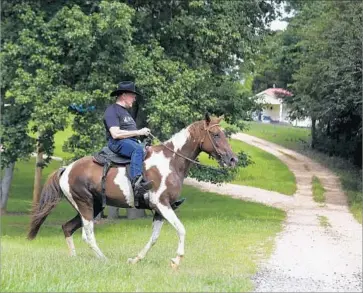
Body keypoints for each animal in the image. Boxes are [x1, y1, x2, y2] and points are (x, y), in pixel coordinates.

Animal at [28, 113, 239, 266]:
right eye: (216, 134)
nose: (232, 159)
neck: (171, 161)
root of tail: (67, 169)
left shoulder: (159, 210)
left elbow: (154, 238)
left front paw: (135, 259)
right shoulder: (162, 204)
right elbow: (181, 229)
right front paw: (177, 259)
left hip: (93, 206)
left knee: (68, 228)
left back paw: (74, 258)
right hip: (85, 205)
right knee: (88, 235)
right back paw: (104, 259)